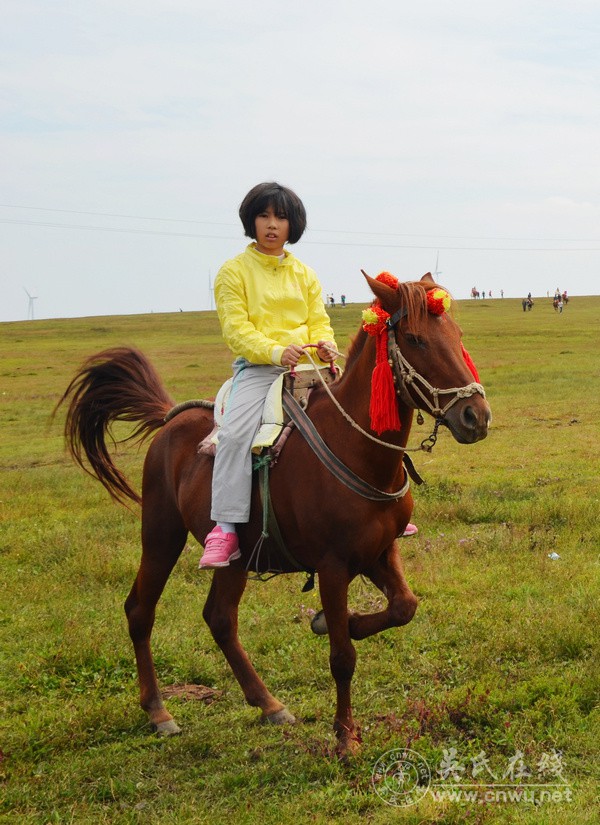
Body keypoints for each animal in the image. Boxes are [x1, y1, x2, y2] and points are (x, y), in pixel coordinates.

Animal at [56, 274, 490, 756]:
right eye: (415, 339)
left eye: (457, 335)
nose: (476, 416)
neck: (356, 449)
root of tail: (171, 419)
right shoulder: (333, 566)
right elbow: (342, 657)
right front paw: (345, 736)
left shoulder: (380, 552)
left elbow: (403, 607)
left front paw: (333, 623)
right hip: (160, 535)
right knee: (140, 610)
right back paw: (158, 711)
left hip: (236, 559)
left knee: (220, 618)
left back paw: (268, 703)